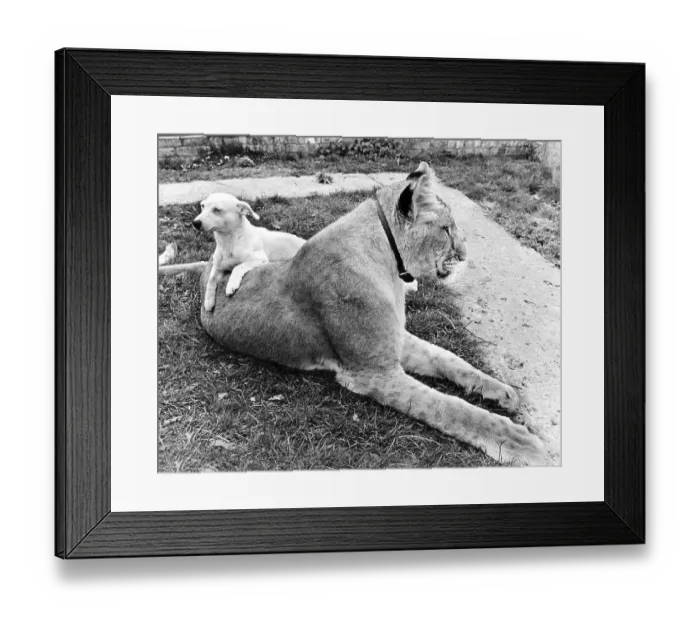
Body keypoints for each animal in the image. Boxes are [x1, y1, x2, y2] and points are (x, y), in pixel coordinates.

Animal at [199, 162, 547, 466]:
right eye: (447, 230)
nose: (464, 255)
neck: (391, 266)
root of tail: (208, 263)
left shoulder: (396, 339)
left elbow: (450, 359)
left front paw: (500, 390)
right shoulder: (374, 373)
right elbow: (447, 407)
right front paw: (519, 441)